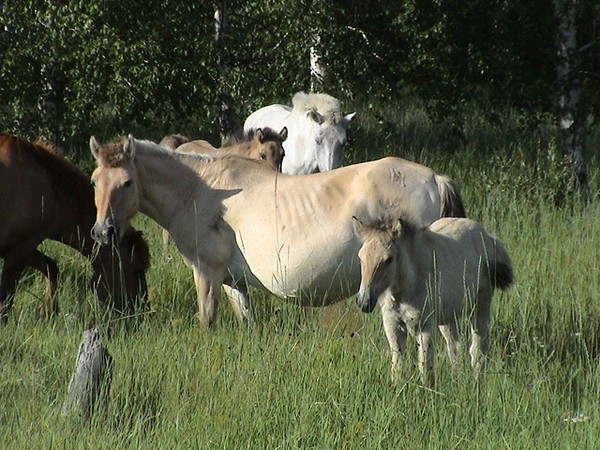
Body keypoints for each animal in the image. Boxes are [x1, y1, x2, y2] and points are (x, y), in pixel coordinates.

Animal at [0, 134, 150, 320]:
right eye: (137, 268)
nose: (144, 311)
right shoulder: (19, 250)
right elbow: (5, 300)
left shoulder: (22, 249)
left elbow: (51, 268)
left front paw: (48, 311)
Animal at [89, 135, 466, 328]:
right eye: (95, 181)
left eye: (126, 182)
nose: (102, 232)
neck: (200, 190)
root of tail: (435, 179)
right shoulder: (233, 282)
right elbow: (247, 322)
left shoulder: (207, 273)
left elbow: (207, 320)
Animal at [354, 216, 512, 384]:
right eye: (360, 257)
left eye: (388, 259)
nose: (363, 301)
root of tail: (488, 236)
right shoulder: (393, 324)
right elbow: (397, 365)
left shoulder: (425, 326)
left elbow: (425, 367)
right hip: (448, 318)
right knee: (454, 348)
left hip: (481, 305)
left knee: (478, 350)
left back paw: (477, 384)